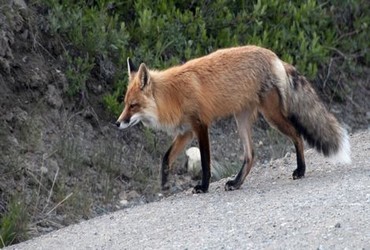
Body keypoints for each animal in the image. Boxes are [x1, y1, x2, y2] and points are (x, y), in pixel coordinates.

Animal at [115, 45, 350, 193]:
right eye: (125, 104)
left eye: (133, 106)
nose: (117, 123)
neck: (173, 96)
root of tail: (274, 57)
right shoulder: (186, 131)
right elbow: (165, 158)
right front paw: (164, 184)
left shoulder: (200, 125)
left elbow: (206, 162)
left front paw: (203, 187)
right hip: (242, 119)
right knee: (251, 155)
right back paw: (236, 183)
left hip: (271, 115)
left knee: (297, 136)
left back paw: (300, 170)